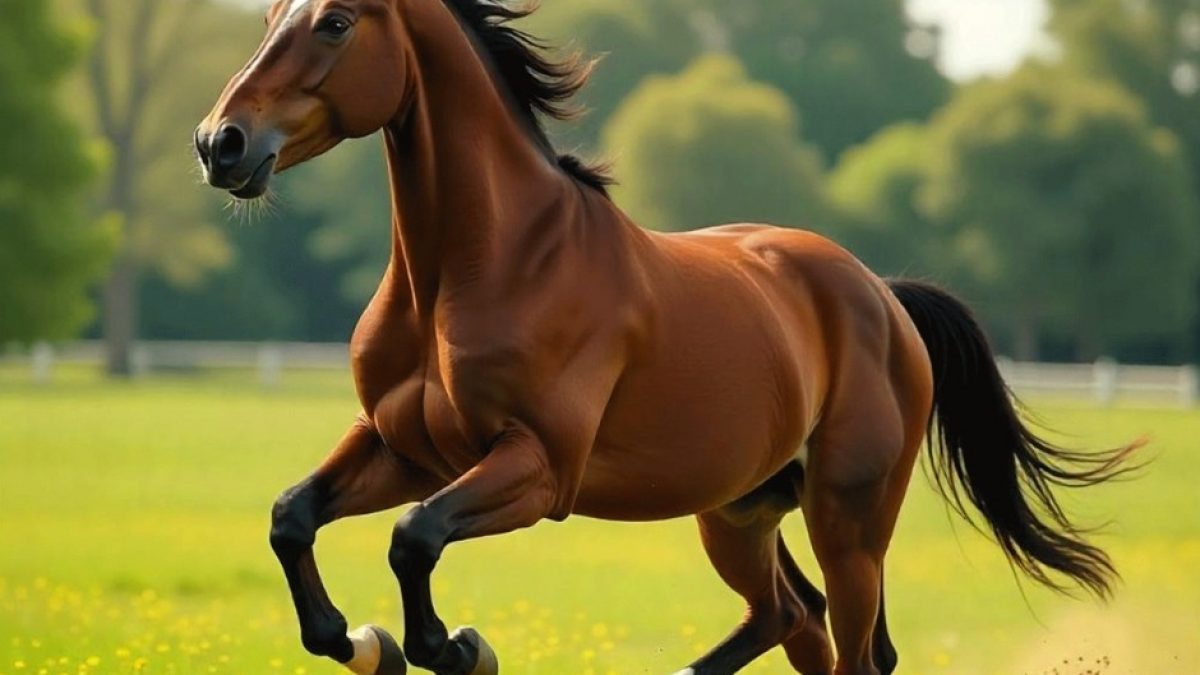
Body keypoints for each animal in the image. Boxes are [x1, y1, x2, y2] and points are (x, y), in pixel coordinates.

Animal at [194, 1, 1138, 673]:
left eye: (336, 21)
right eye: (270, 11)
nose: (219, 143)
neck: (485, 266)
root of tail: (882, 295)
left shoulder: (538, 468)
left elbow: (414, 537)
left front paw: (457, 647)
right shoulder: (405, 447)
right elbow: (292, 517)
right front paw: (361, 642)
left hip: (850, 519)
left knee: (851, 648)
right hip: (740, 510)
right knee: (792, 616)